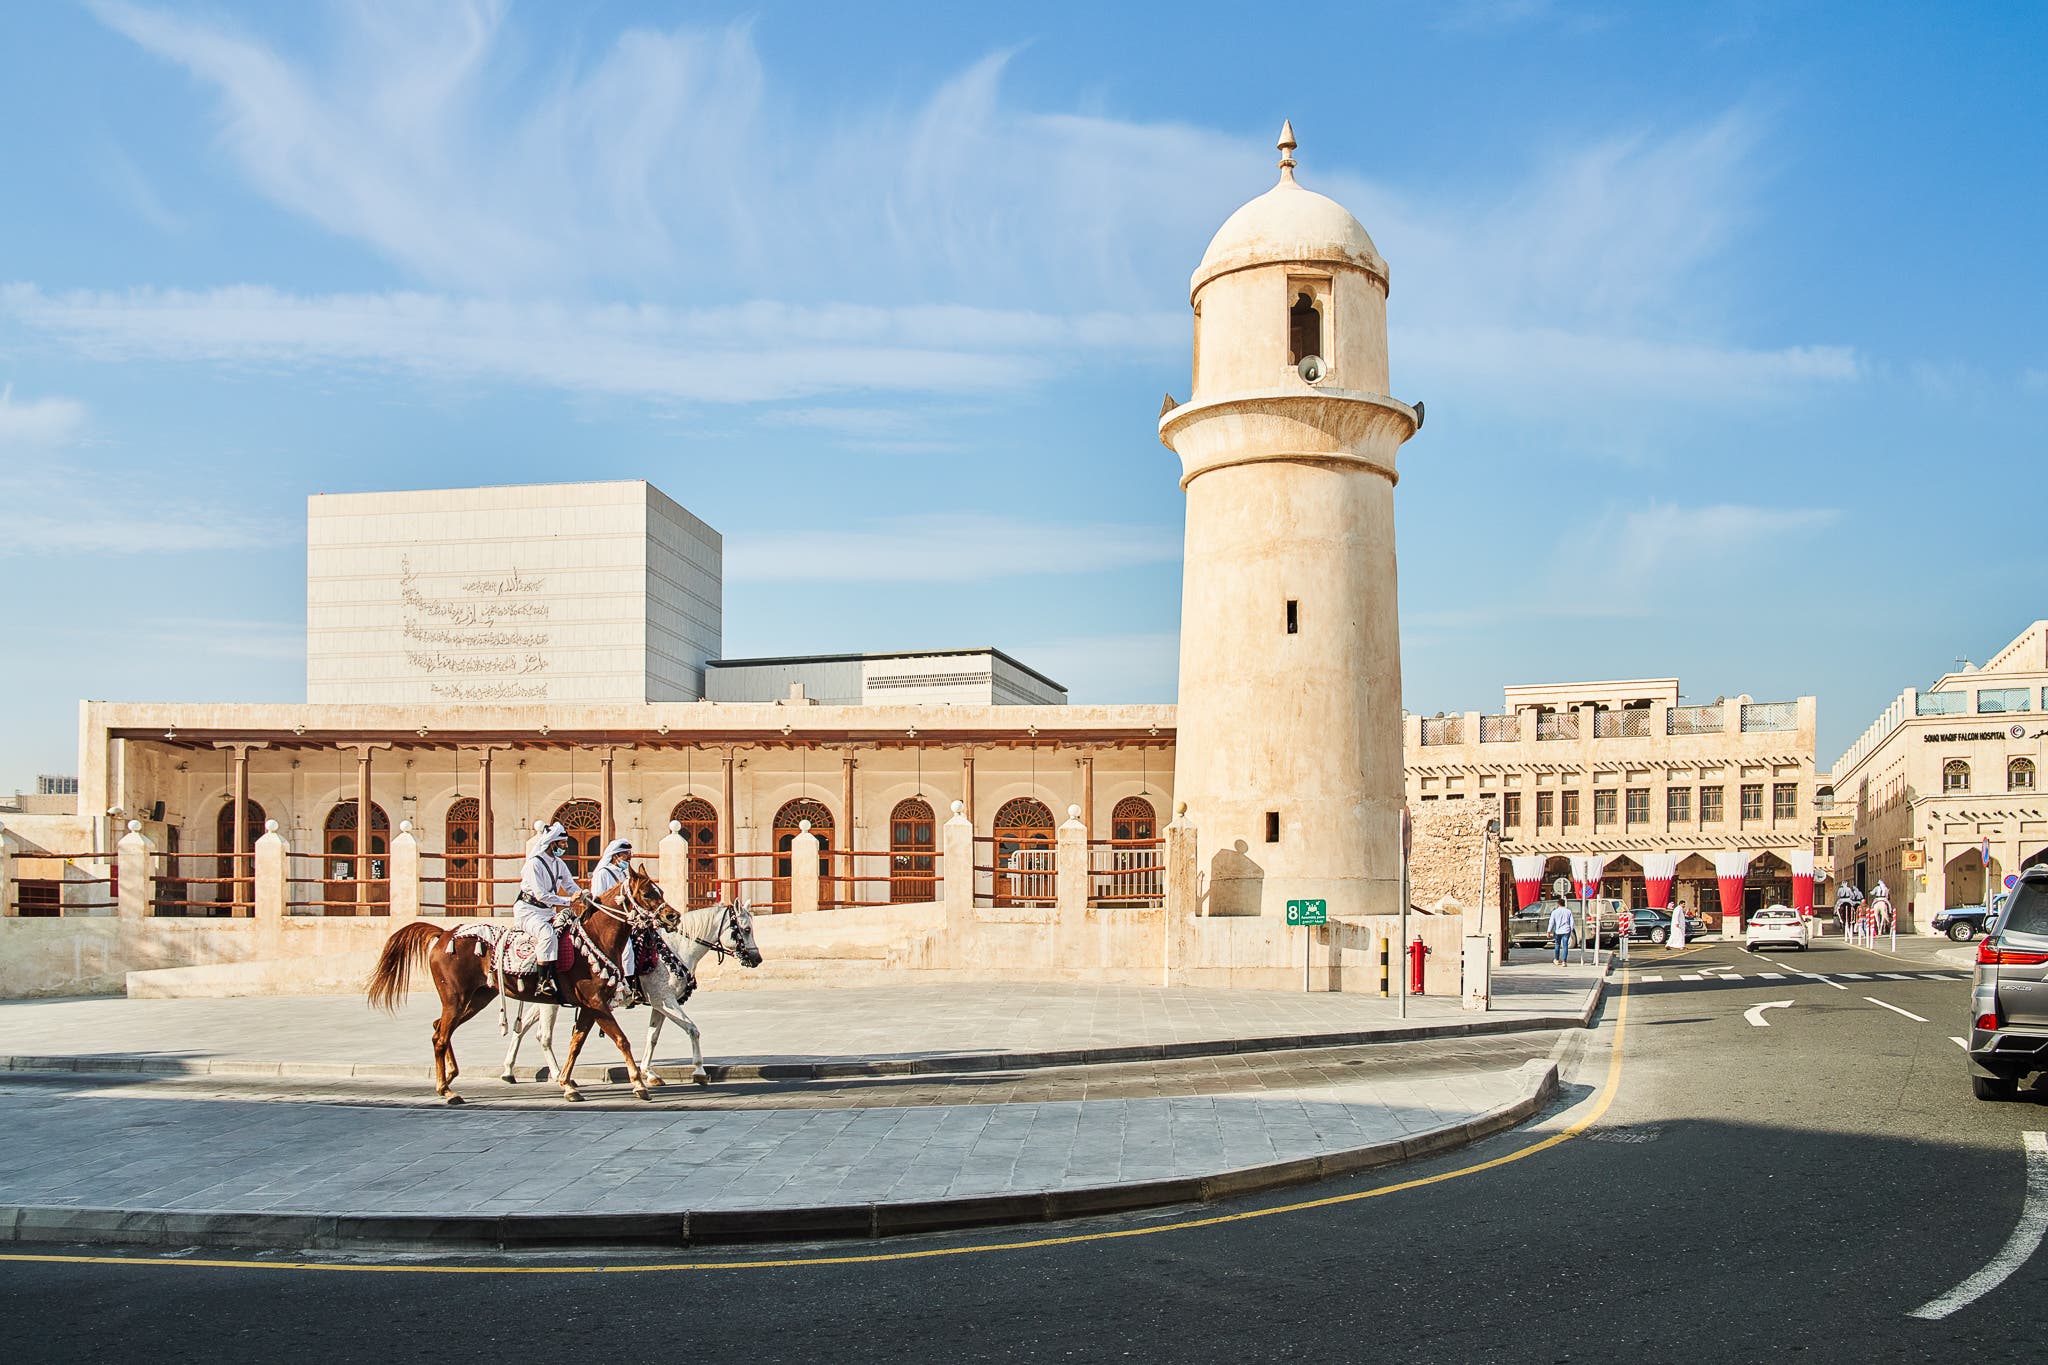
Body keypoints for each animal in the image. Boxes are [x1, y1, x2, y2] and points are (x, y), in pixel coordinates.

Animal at [368, 871, 679, 1105]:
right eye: (647, 893)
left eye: (660, 890)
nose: (672, 916)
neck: (596, 938)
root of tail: (444, 933)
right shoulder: (596, 1002)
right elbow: (622, 1040)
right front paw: (639, 1084)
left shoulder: (590, 1006)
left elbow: (576, 1043)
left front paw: (567, 1084)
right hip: (455, 998)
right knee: (441, 1036)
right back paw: (447, 1090)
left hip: (476, 998)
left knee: (439, 1029)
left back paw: (450, 1077)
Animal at [499, 908, 765, 1088]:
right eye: (746, 929)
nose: (756, 958)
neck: (675, 948)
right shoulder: (665, 1000)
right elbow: (692, 1029)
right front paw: (699, 1072)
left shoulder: (660, 1003)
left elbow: (652, 1037)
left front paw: (649, 1073)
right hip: (551, 1003)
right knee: (543, 1035)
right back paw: (557, 1076)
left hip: (547, 1000)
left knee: (523, 1028)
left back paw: (509, 1070)